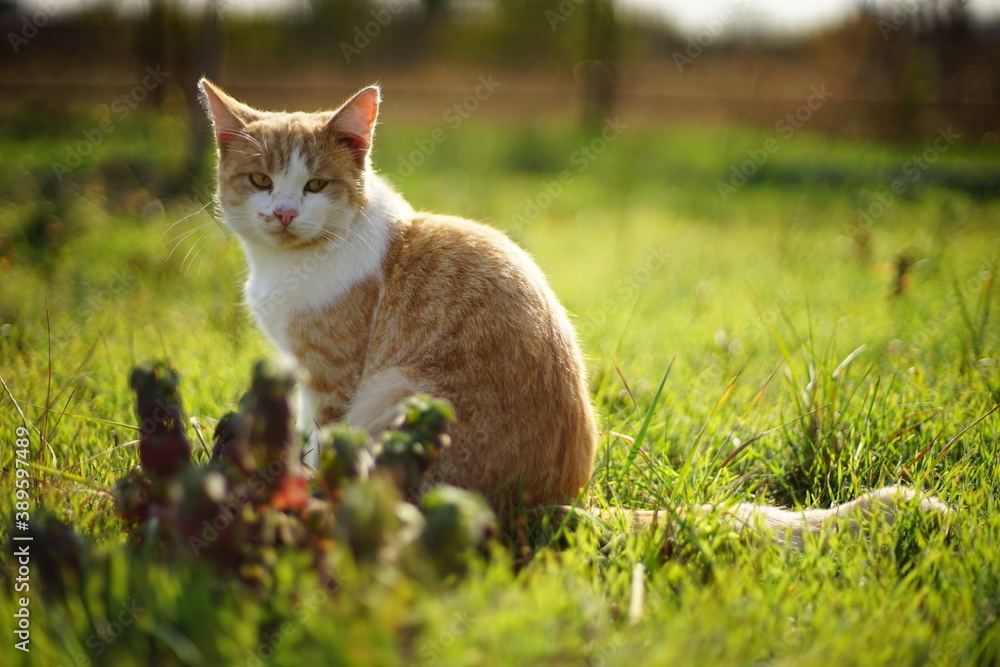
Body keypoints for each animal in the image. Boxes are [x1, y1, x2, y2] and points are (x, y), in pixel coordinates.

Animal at [197, 79, 952, 544]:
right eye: (260, 180)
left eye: (316, 185)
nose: (283, 212)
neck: (286, 268)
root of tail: (560, 506)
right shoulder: (296, 369)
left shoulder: (335, 380)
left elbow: (319, 443)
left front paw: (298, 489)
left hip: (397, 394)